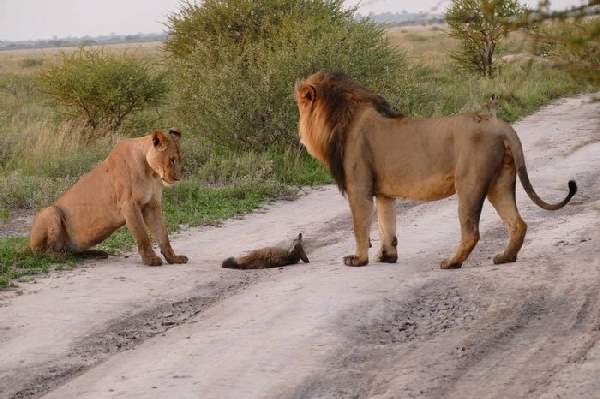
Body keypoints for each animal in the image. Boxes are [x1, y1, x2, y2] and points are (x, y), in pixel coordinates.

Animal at [29, 129, 189, 266]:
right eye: (172, 160)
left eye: (179, 159)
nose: (178, 178)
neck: (151, 172)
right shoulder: (129, 204)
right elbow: (142, 235)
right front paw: (150, 259)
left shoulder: (152, 205)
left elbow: (163, 234)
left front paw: (173, 258)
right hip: (50, 212)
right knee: (45, 253)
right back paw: (63, 256)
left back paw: (97, 253)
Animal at [296, 73, 576, 270]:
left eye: (299, 105)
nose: (298, 131)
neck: (341, 119)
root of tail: (500, 125)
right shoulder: (384, 192)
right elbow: (387, 224)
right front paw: (387, 256)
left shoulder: (359, 187)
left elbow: (360, 225)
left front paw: (358, 259)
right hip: (501, 182)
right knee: (518, 223)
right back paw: (505, 257)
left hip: (470, 184)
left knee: (471, 231)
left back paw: (452, 263)